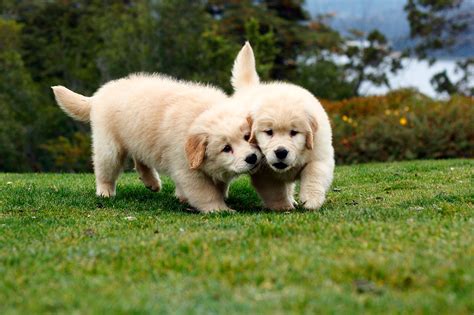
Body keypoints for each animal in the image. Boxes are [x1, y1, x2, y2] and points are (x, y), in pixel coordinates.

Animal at [52, 73, 262, 214]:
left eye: (246, 137)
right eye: (226, 148)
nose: (252, 158)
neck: (200, 114)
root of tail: (98, 95)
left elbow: (219, 183)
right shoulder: (186, 168)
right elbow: (205, 192)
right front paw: (220, 209)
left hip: (139, 140)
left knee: (140, 160)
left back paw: (151, 182)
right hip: (109, 146)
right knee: (105, 169)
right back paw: (105, 191)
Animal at [231, 42, 336, 210]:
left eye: (294, 132)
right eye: (269, 132)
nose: (281, 152)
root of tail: (251, 89)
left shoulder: (320, 155)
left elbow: (314, 174)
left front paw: (311, 200)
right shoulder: (264, 173)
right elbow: (275, 191)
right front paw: (284, 207)